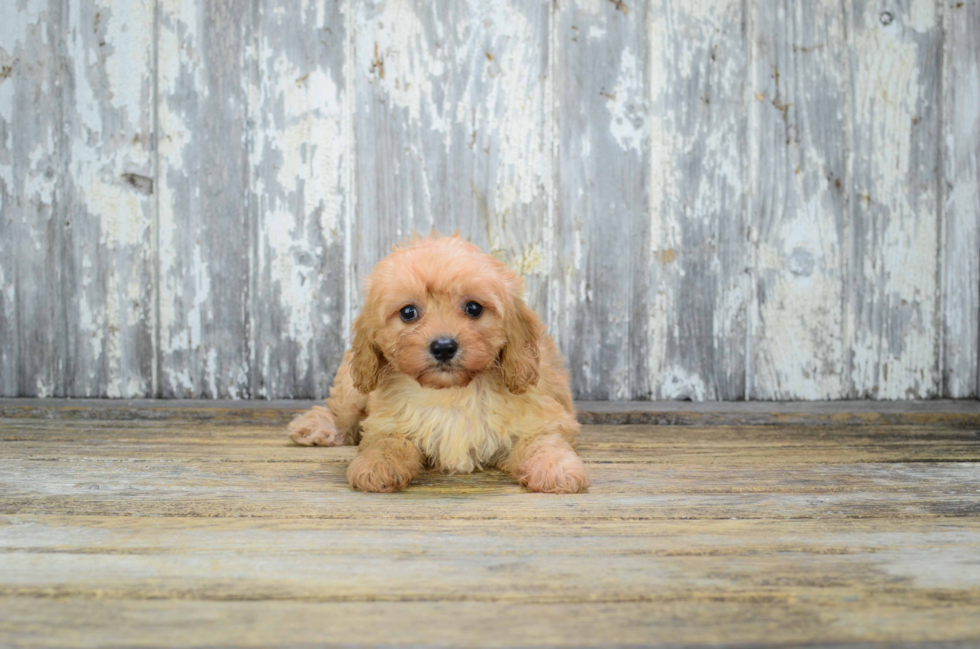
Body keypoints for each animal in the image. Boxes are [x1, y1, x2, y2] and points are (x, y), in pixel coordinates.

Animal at [286, 235, 588, 494]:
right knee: (342, 414)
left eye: (474, 308)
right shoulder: (387, 419)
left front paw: (556, 469)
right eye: (408, 312)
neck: (451, 392)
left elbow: (545, 441)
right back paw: (316, 427)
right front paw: (376, 466)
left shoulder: (543, 415)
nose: (444, 347)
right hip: (353, 387)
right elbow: (385, 441)